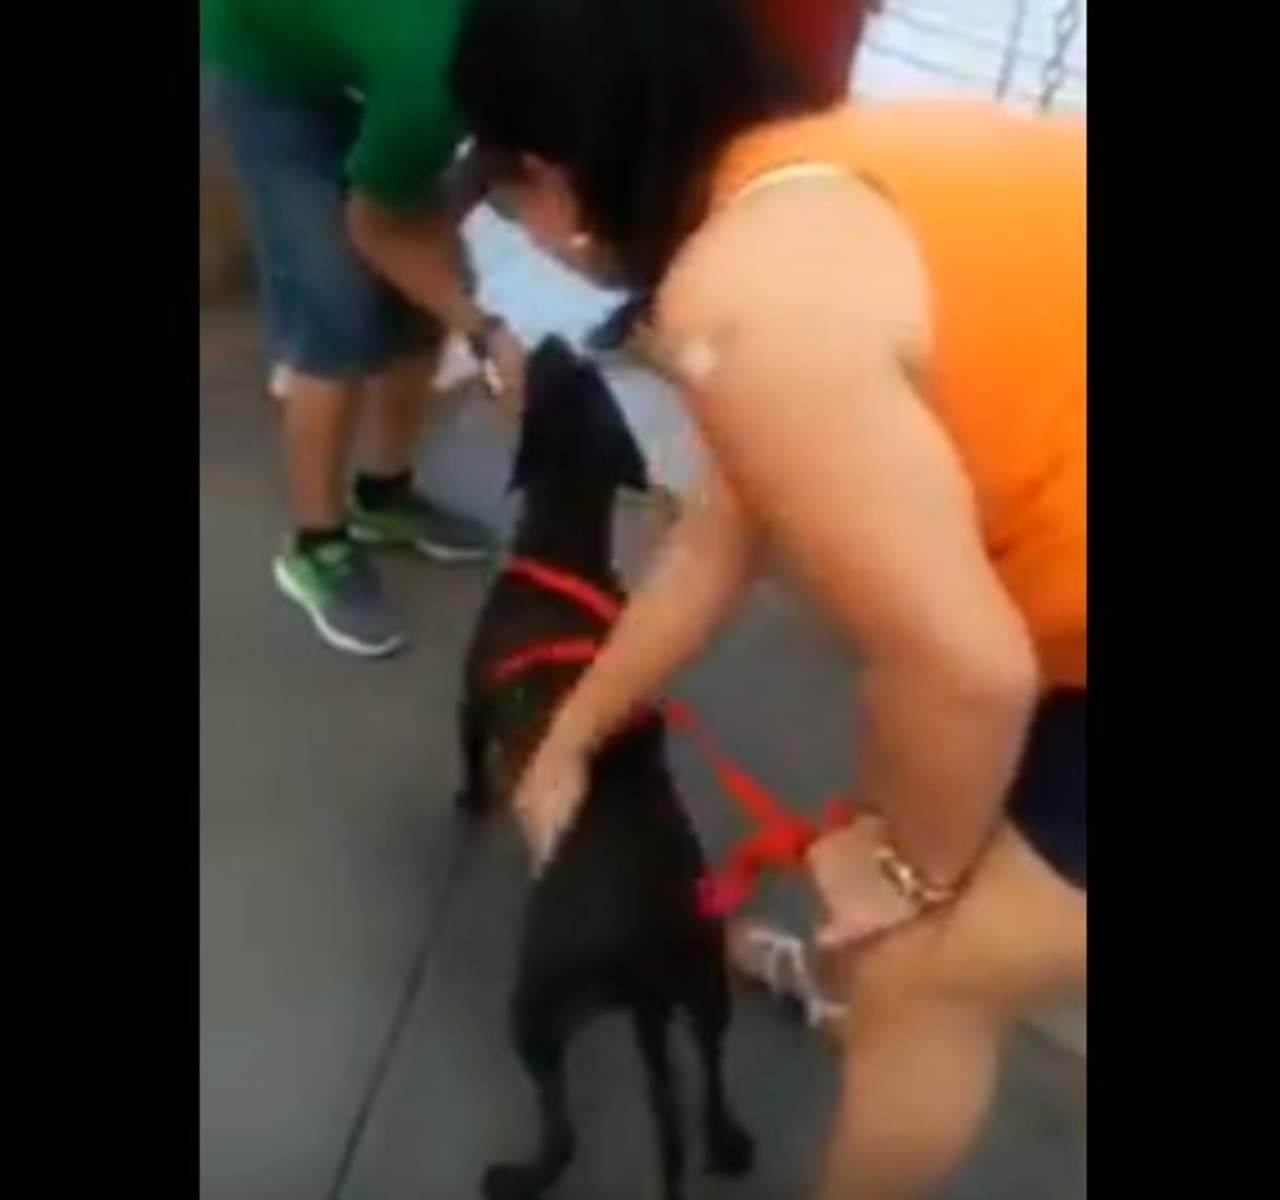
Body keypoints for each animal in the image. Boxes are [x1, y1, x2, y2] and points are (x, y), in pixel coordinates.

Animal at [456, 337, 755, 1200]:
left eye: (555, 376)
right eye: (588, 384)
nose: (558, 341)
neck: (561, 549)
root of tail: (643, 950)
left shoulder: (469, 701)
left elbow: (469, 758)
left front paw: (468, 798)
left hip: (536, 1005)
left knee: (562, 1134)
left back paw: (517, 1176)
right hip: (705, 984)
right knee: (710, 1076)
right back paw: (728, 1145)